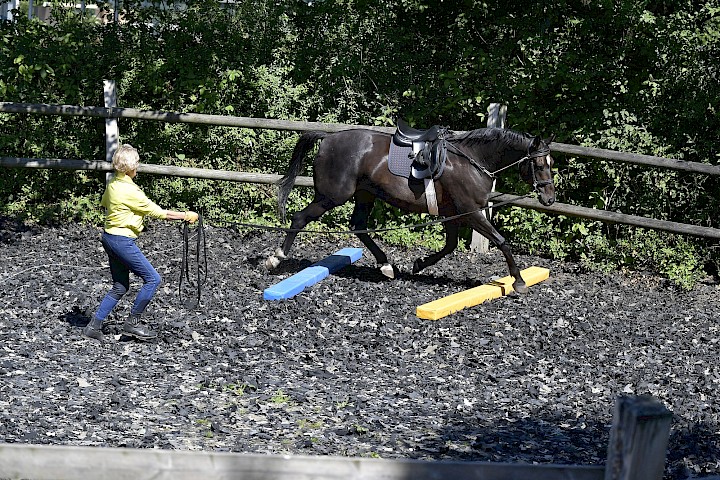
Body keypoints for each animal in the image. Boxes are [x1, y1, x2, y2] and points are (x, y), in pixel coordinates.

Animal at [268, 125, 556, 292]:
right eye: (540, 164)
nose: (550, 198)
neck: (473, 161)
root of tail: (328, 138)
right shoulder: (471, 212)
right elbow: (501, 241)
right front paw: (519, 281)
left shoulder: (453, 214)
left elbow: (450, 246)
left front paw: (419, 265)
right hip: (332, 196)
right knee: (299, 219)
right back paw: (276, 258)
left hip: (364, 194)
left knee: (359, 226)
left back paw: (386, 266)